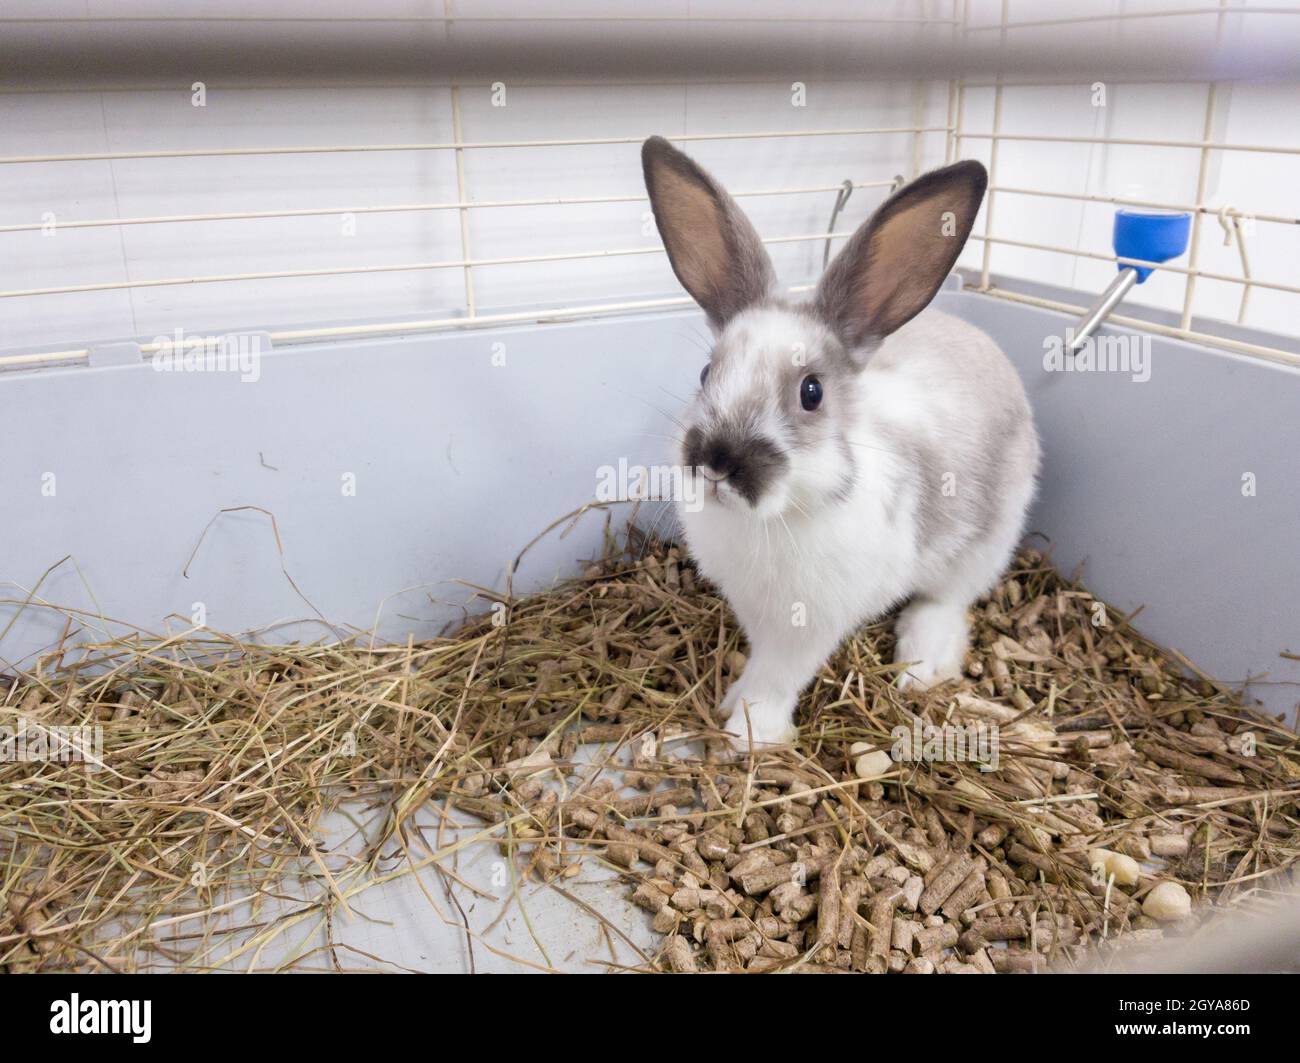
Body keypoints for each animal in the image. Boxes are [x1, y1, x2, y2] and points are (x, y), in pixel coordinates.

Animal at [644, 134, 1040, 743]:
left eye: (812, 392)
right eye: (707, 373)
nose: (716, 461)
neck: (776, 517)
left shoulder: (807, 628)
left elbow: (777, 678)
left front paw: (748, 733)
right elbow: (757, 663)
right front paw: (731, 700)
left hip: (987, 542)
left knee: (948, 601)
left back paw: (921, 664)